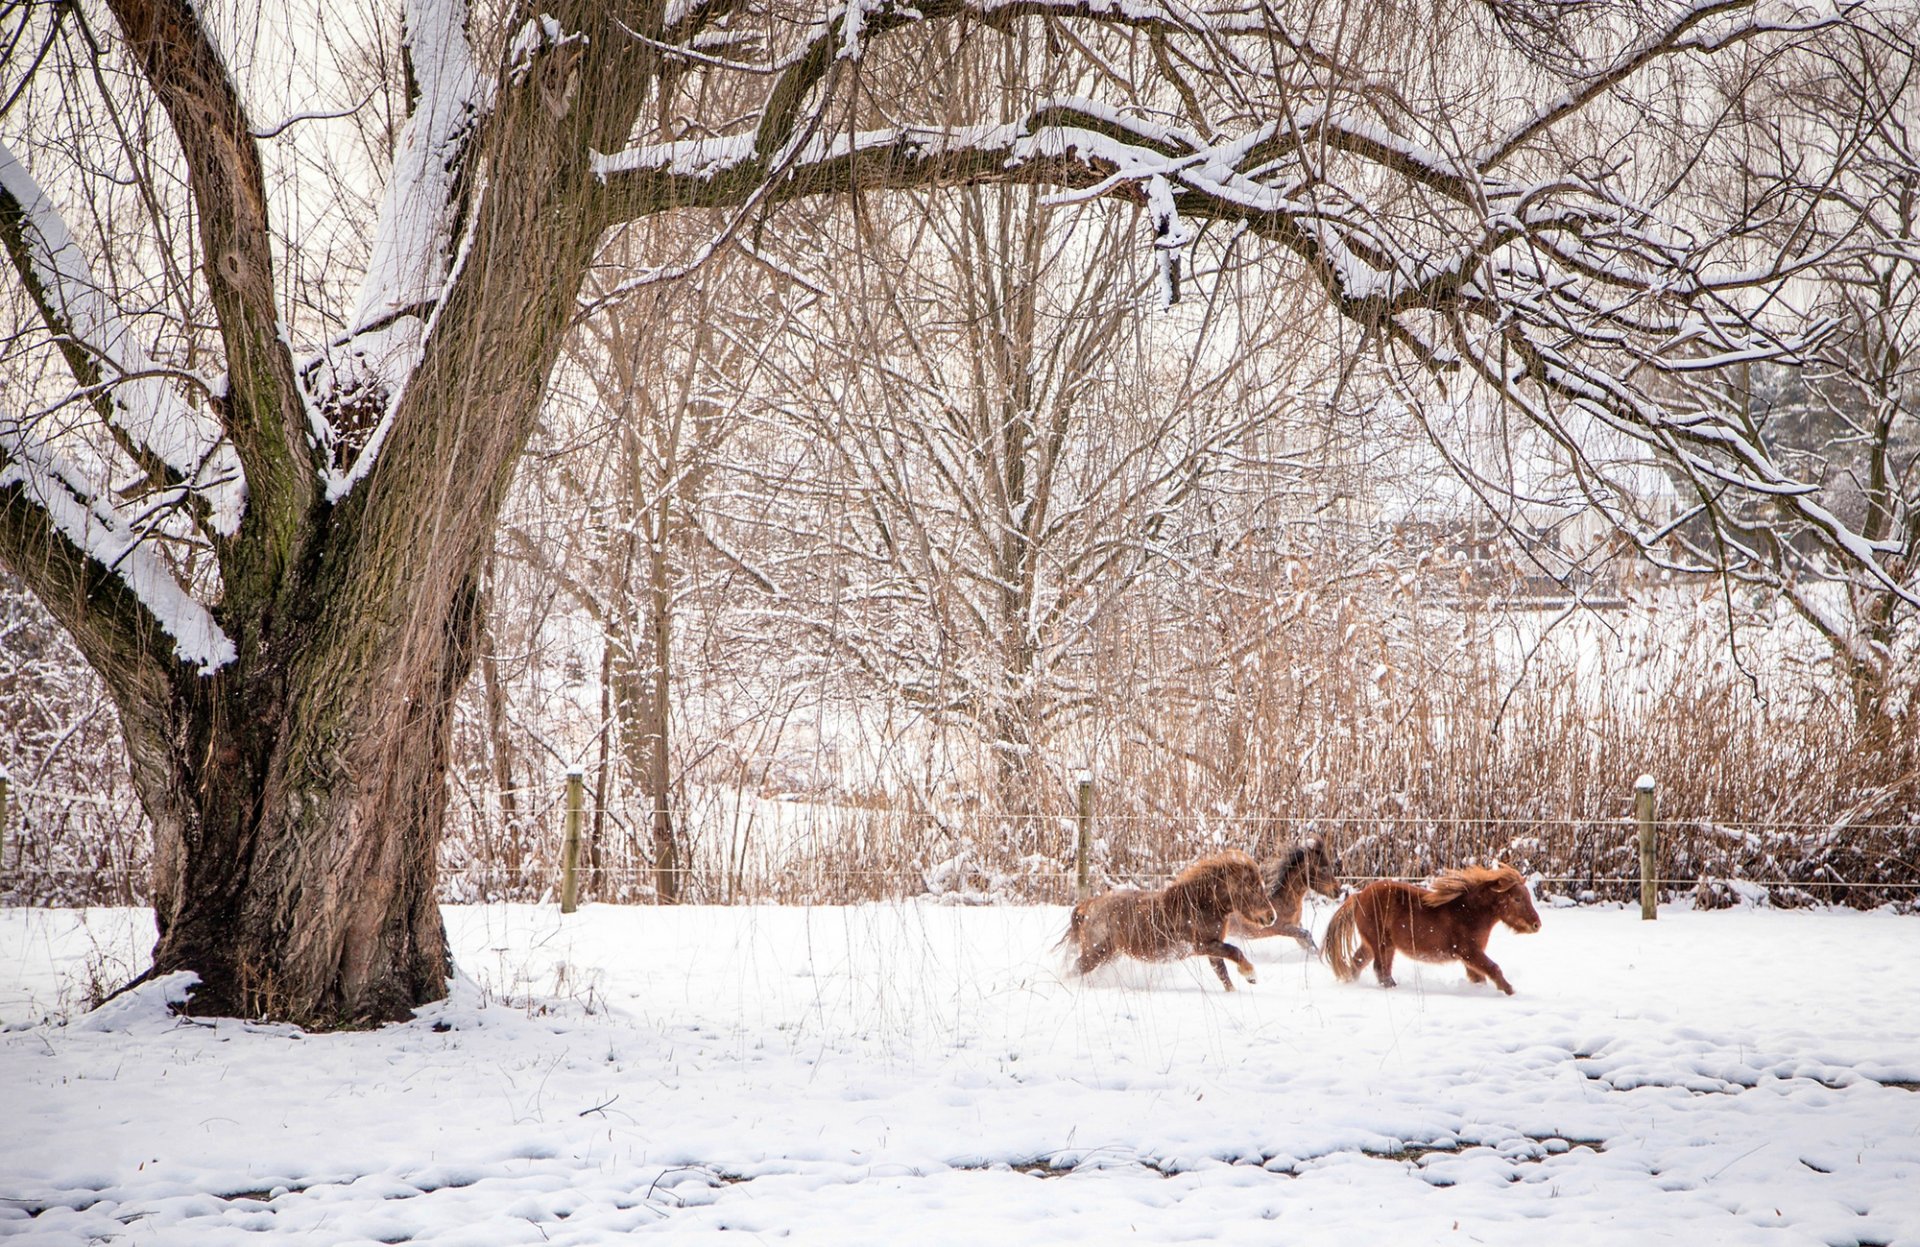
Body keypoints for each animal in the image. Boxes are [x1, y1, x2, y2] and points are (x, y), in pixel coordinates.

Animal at [1063, 850, 1279, 991]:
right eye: (1252, 888)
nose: (1271, 916)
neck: (1200, 905)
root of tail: (1088, 906)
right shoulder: (1203, 945)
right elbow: (1234, 951)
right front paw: (1251, 975)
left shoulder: (1213, 948)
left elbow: (1222, 973)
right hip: (1096, 953)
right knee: (1074, 969)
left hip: (1109, 954)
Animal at [1322, 864, 1541, 995]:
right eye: (1517, 899)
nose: (1536, 924)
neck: (1470, 911)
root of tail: (1358, 896)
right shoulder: (1469, 952)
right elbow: (1493, 968)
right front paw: (1510, 991)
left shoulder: (1470, 957)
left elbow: (1478, 978)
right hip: (1382, 944)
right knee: (1381, 970)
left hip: (1373, 945)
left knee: (1358, 962)